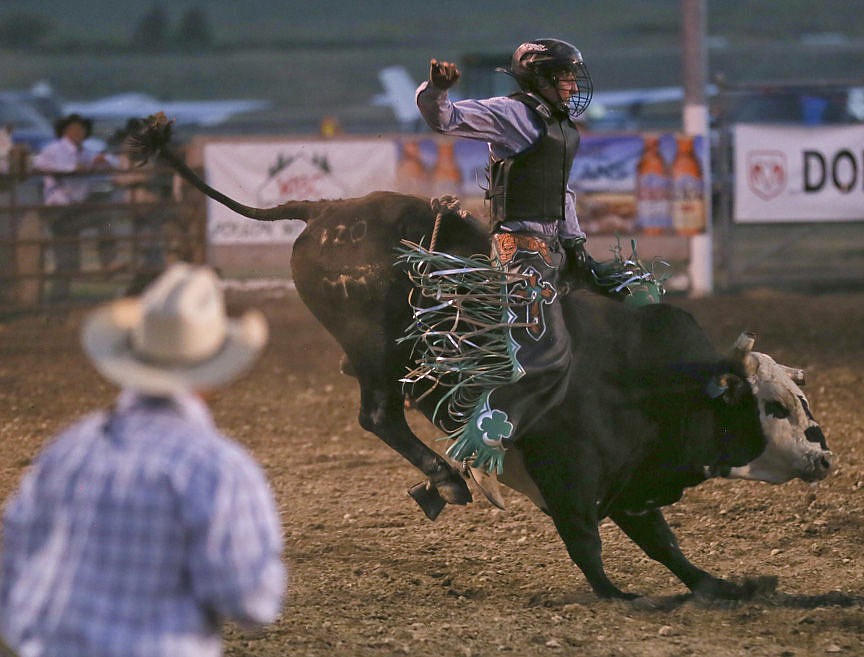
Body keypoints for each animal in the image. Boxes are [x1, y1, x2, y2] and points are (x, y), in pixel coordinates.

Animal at [140, 129, 832, 600]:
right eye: (771, 405)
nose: (823, 455)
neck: (645, 381)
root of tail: (326, 209)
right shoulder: (570, 478)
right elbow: (589, 545)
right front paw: (626, 596)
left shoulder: (633, 483)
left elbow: (666, 545)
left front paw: (729, 587)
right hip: (374, 347)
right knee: (378, 414)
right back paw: (446, 478)